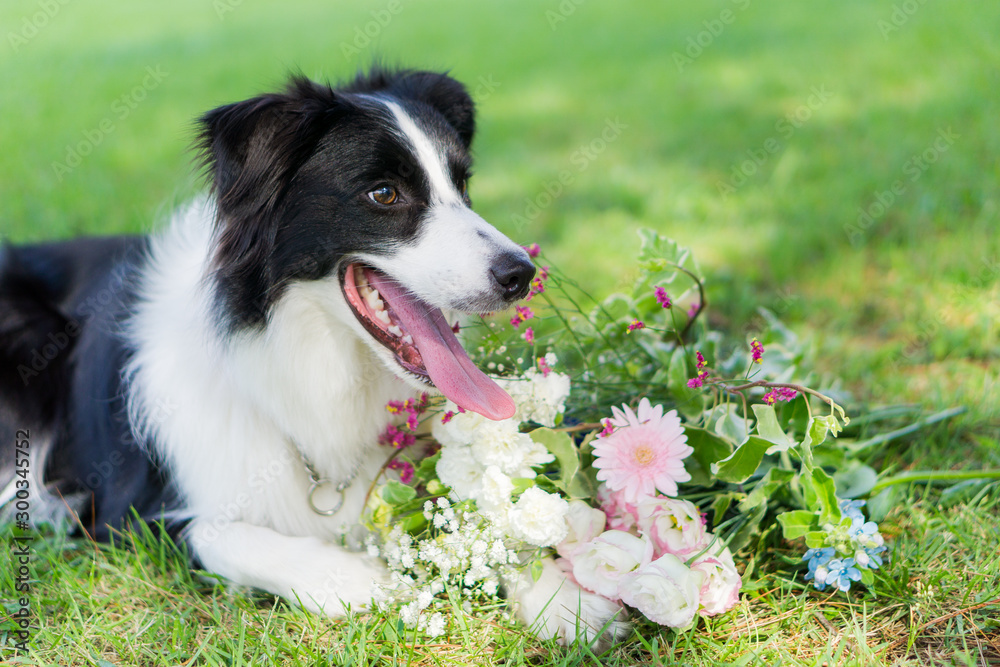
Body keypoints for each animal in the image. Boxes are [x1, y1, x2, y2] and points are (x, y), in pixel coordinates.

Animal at [0, 69, 624, 648]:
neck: (305, 357)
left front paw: (560, 596)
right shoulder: (133, 514)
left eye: (462, 184)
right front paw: (363, 581)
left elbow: (481, 518)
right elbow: (227, 535)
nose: (521, 274)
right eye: (384, 194)